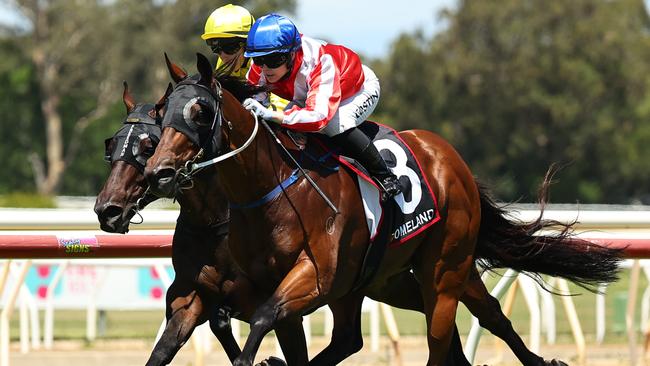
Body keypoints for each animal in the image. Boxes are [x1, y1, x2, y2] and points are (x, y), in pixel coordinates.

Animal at [92, 83, 306, 366]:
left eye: (149, 146)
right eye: (112, 145)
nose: (107, 210)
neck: (213, 224)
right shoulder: (191, 296)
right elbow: (164, 349)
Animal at [144, 54, 620, 366]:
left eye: (200, 110)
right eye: (161, 112)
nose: (159, 172)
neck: (268, 188)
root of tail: (449, 156)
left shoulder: (314, 276)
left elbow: (259, 322)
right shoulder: (257, 285)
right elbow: (239, 328)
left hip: (442, 268)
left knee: (446, 332)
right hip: (386, 279)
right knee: (457, 320)